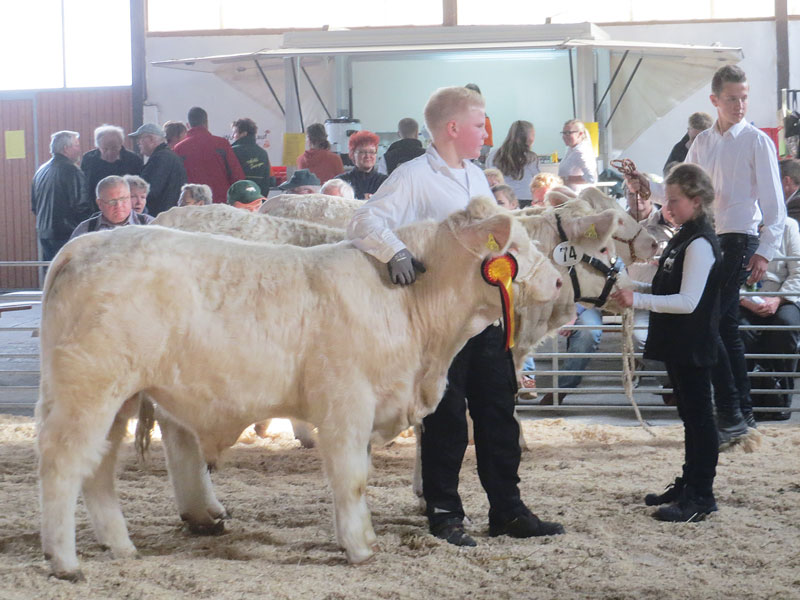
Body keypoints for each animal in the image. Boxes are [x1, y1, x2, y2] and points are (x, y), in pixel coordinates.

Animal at [39, 195, 564, 580]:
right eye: (516, 246)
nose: (559, 282)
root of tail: (86, 244)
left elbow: (359, 476)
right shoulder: (347, 404)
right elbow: (351, 478)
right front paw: (360, 549)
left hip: (119, 400)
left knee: (99, 471)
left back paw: (121, 547)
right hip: (87, 391)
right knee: (63, 466)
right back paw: (65, 562)